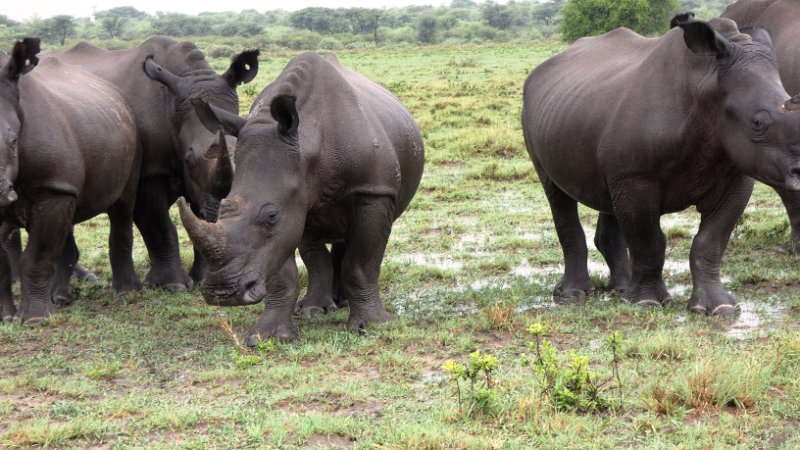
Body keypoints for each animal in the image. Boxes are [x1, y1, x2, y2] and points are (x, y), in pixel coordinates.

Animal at [0, 38, 140, 324]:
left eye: (13, 141)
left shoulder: (52, 185)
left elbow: (38, 256)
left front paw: (35, 320)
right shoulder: (56, 184)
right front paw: (7, 318)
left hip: (129, 131)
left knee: (122, 205)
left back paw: (125, 292)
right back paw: (60, 299)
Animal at [44, 37, 258, 289]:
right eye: (189, 157)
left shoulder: (202, 186)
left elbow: (200, 222)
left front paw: (203, 278)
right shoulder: (151, 171)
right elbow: (159, 225)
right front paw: (172, 286)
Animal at [178, 52, 425, 343]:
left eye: (271, 216)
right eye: (222, 209)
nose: (223, 294)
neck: (308, 143)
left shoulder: (372, 191)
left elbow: (361, 264)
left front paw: (372, 326)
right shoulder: (294, 199)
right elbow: (288, 266)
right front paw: (269, 336)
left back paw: (341, 304)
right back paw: (318, 308)